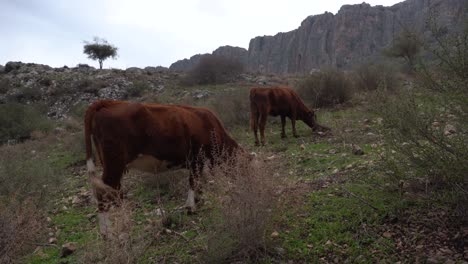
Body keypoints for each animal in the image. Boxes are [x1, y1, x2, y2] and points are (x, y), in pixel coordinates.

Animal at [84, 100, 243, 234]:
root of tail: (108, 102)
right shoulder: (196, 159)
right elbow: (193, 181)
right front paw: (191, 206)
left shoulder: (198, 162)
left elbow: (197, 181)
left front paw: (198, 199)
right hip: (114, 164)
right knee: (104, 193)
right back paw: (107, 231)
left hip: (112, 165)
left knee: (114, 192)